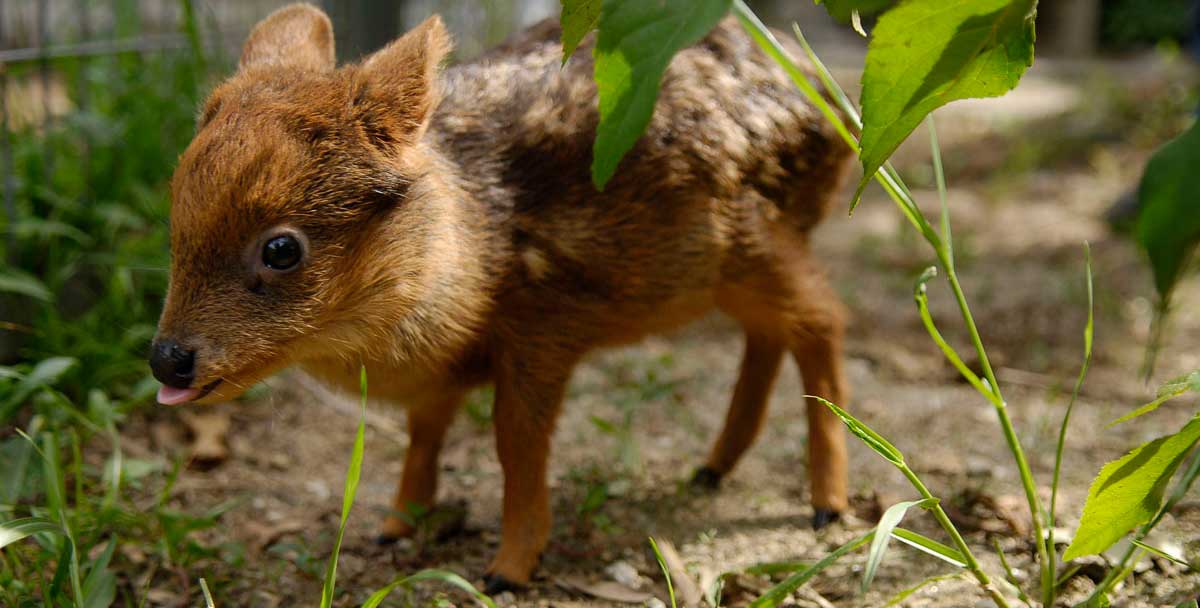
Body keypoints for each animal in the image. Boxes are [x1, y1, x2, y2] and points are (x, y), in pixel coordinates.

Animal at [152, 2, 854, 594]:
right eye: (175, 214)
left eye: (281, 249)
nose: (166, 359)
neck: (474, 250)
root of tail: (831, 115)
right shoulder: (440, 376)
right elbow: (423, 433)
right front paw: (397, 525)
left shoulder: (542, 329)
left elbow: (515, 445)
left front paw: (507, 571)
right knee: (771, 336)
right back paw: (713, 468)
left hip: (759, 241)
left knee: (821, 321)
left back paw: (827, 505)